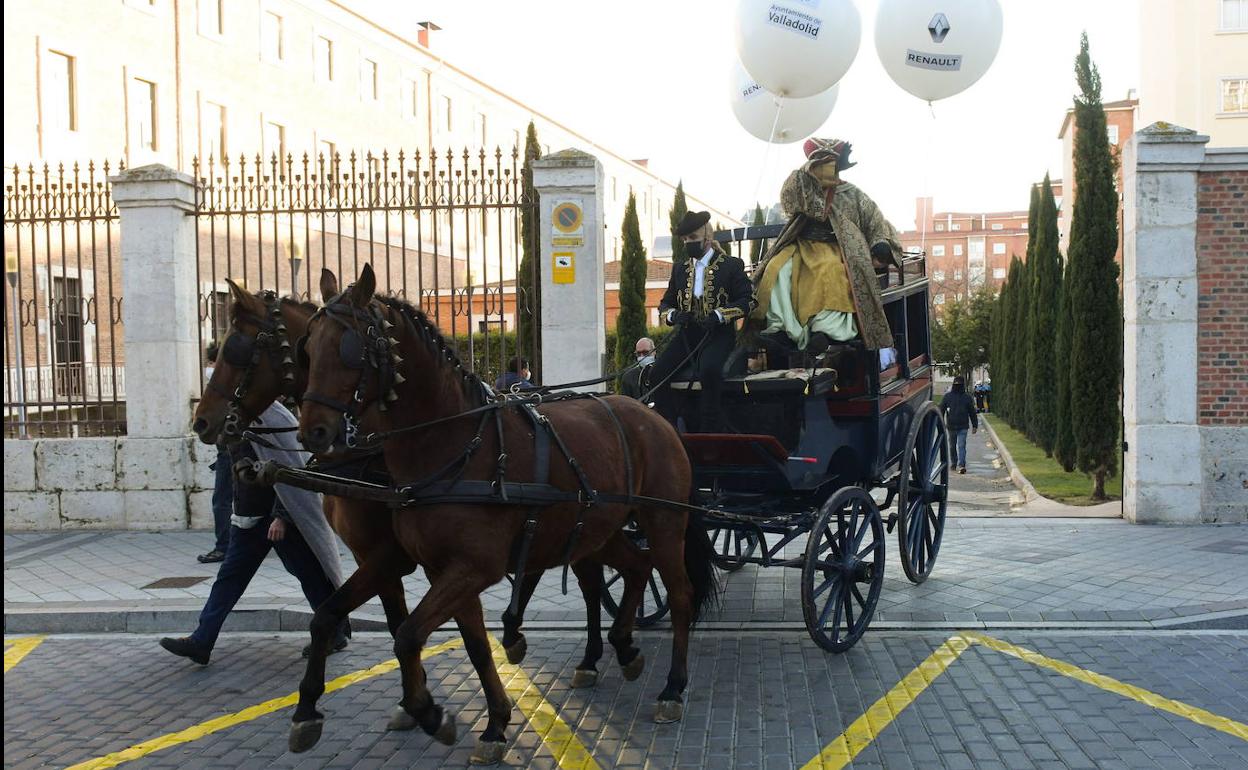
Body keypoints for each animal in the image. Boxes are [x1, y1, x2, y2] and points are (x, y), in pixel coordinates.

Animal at [292, 265, 718, 763]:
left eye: (349, 350)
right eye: (308, 348)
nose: (313, 431)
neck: (454, 444)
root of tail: (650, 414)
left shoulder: (472, 567)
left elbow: (408, 636)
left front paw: (430, 712)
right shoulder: (436, 566)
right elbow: (470, 644)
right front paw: (494, 722)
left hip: (664, 522)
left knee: (680, 593)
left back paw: (672, 686)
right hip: (600, 528)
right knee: (635, 568)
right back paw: (622, 646)